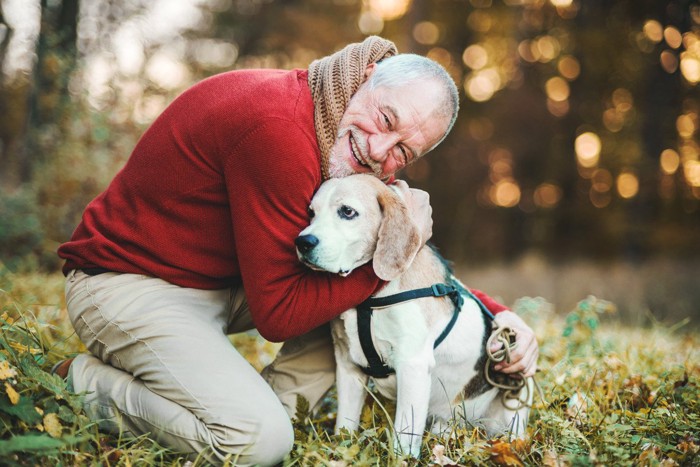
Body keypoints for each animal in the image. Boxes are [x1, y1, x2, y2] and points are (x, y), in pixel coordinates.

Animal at [294, 175, 532, 458]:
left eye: (347, 212)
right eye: (311, 213)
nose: (303, 242)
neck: (371, 299)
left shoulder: (412, 364)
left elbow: (404, 436)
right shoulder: (348, 366)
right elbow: (345, 425)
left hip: (514, 405)